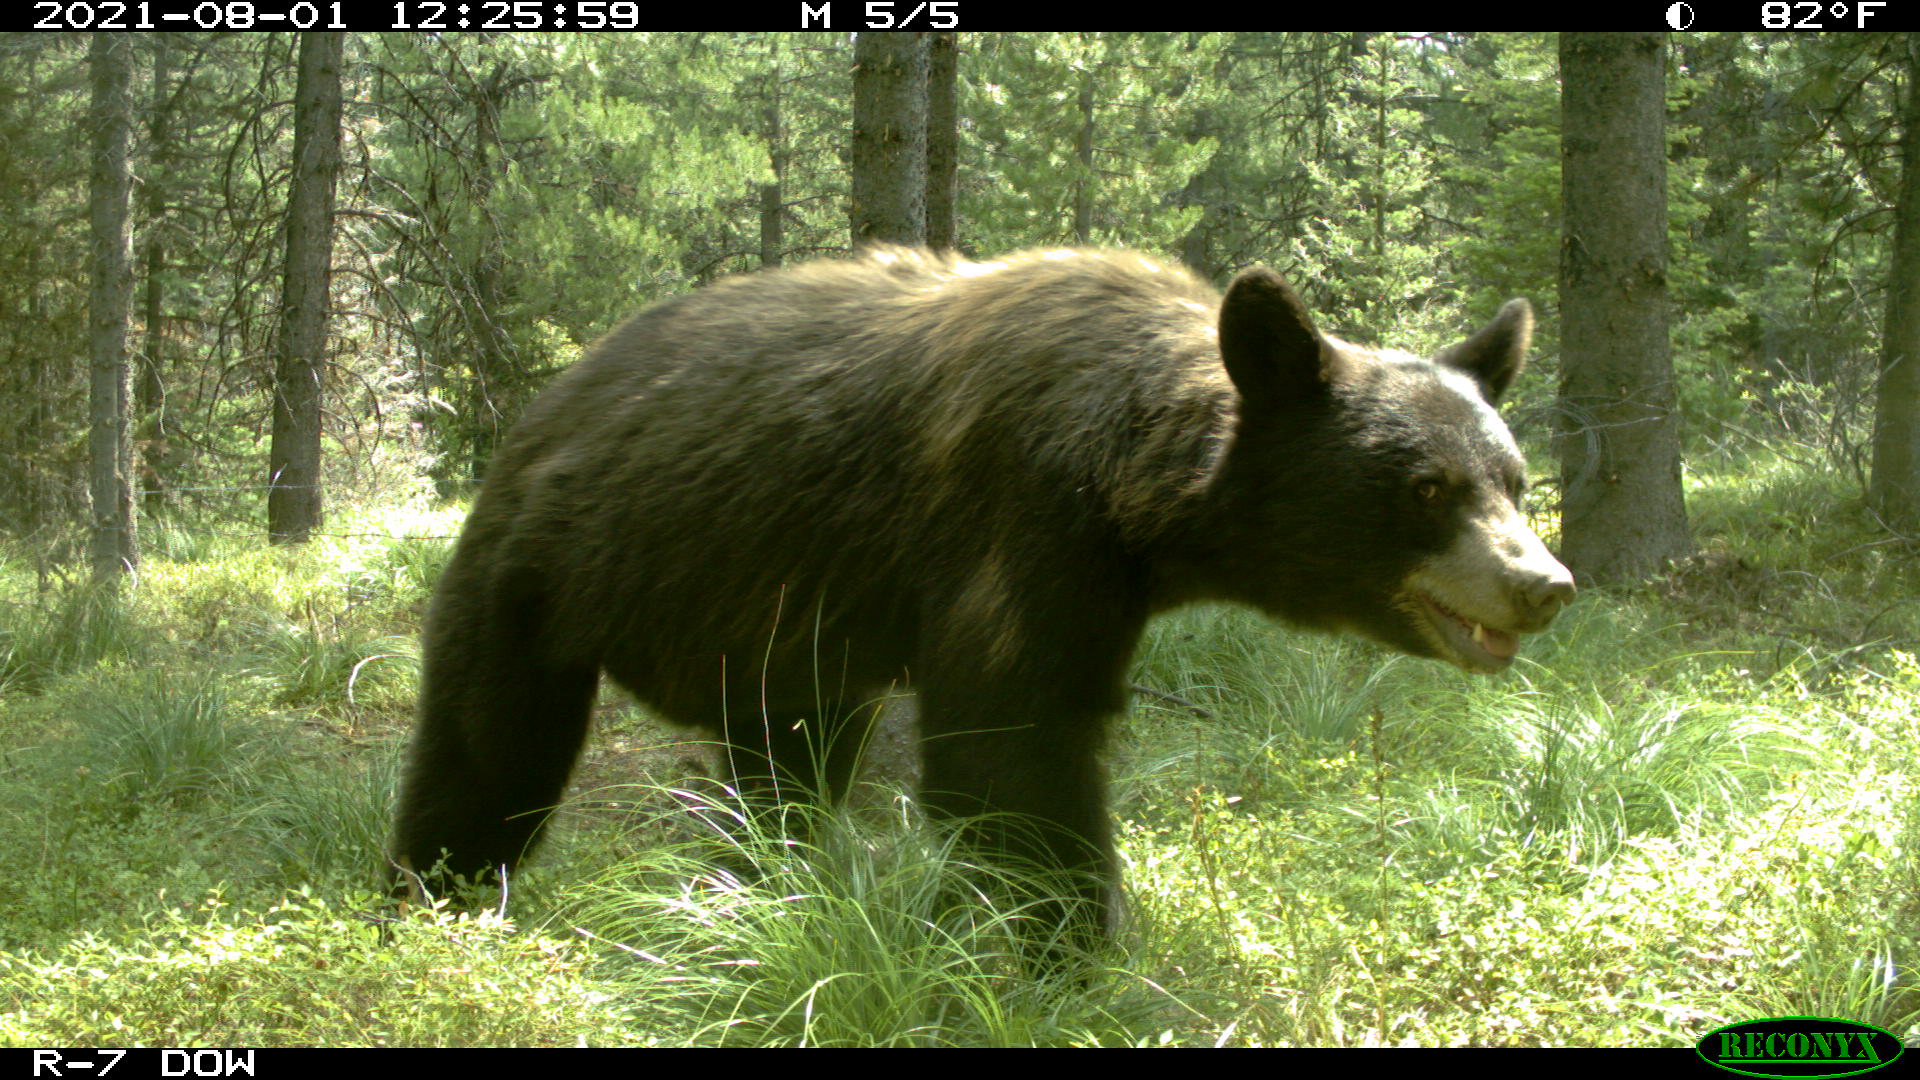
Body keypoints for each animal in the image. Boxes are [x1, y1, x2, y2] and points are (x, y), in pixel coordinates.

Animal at [389, 245, 1574, 941]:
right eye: (1427, 488)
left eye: (1514, 479)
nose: (1543, 583)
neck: (1129, 481)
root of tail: (546, 404)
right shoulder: (1019, 529)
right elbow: (1011, 756)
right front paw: (1071, 951)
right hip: (532, 578)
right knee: (487, 754)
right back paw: (434, 896)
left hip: (777, 635)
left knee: (785, 767)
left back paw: (761, 889)